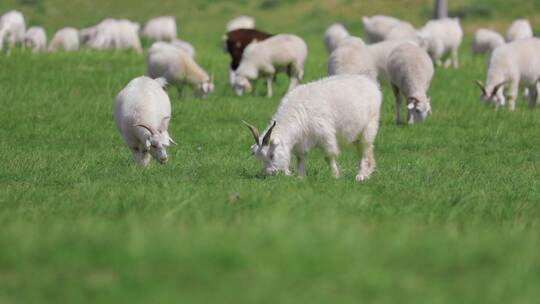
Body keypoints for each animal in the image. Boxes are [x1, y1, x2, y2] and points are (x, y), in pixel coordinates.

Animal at [243, 74, 382, 182]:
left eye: (272, 155)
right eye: (259, 158)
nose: (269, 174)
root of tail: (372, 85)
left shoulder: (326, 135)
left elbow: (329, 156)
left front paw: (335, 176)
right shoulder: (302, 141)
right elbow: (301, 159)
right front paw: (300, 177)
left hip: (369, 126)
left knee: (365, 150)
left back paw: (361, 176)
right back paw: (367, 172)